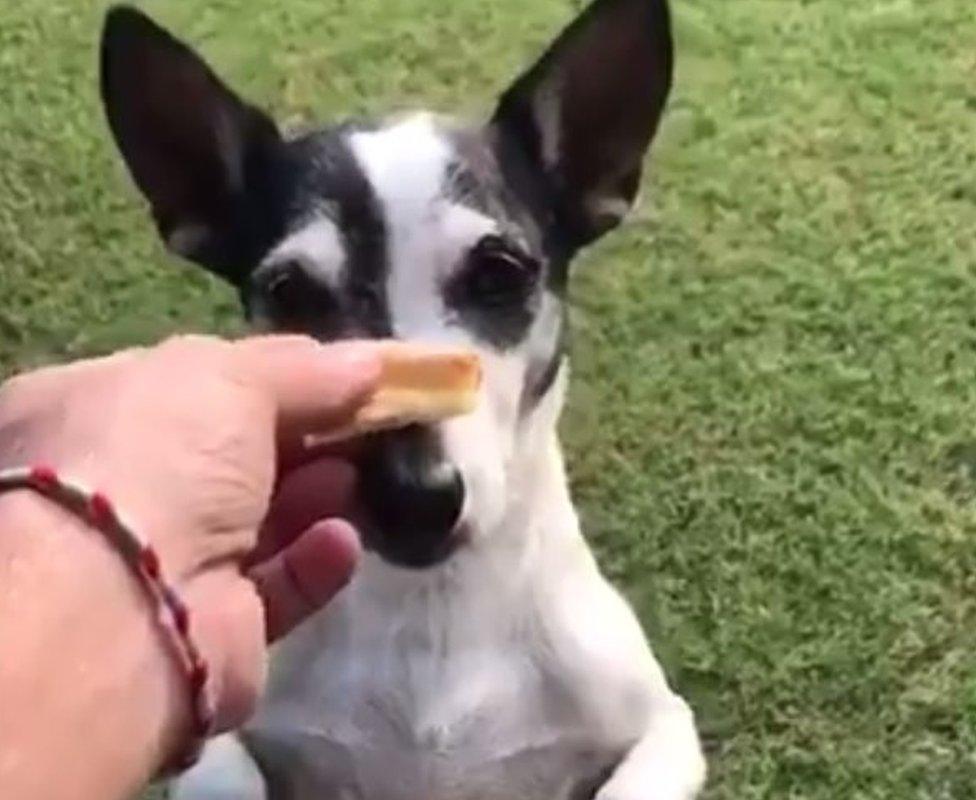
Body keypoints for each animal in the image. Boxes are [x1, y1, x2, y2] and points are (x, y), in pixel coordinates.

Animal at [103, 3, 704, 796]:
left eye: (498, 273)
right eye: (289, 293)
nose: (413, 498)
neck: (434, 612)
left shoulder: (666, 729)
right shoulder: (222, 741)